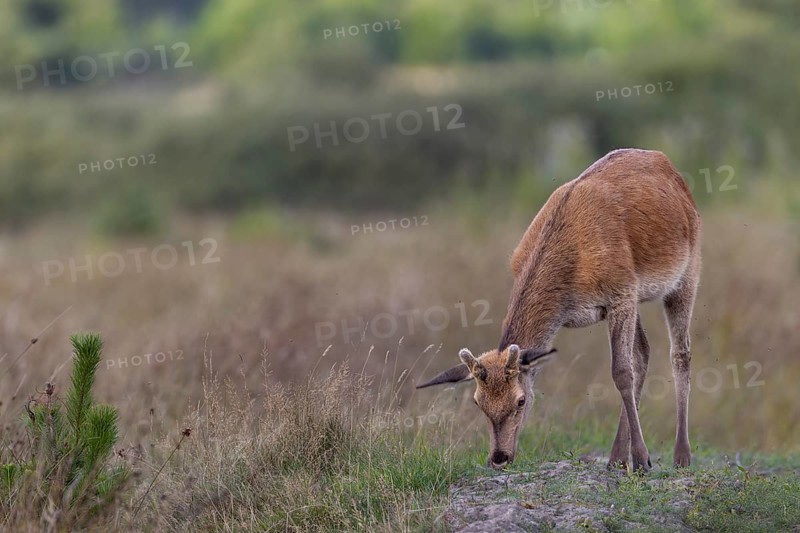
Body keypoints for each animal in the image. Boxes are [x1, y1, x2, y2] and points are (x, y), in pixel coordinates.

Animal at [417, 148, 701, 472]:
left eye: (521, 400)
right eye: (478, 402)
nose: (499, 457)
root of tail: (671, 168)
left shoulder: (621, 293)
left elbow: (620, 371)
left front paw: (643, 459)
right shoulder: (622, 300)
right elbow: (632, 362)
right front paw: (631, 457)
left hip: (688, 272)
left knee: (680, 352)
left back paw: (681, 455)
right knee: (644, 352)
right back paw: (616, 457)